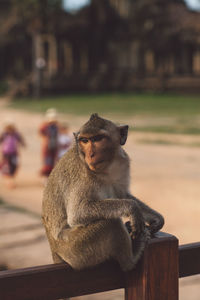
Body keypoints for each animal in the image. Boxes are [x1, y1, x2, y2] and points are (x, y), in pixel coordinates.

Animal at [42, 113, 164, 272]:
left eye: (98, 139)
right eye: (85, 140)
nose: (91, 154)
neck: (107, 168)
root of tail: (54, 250)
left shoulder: (123, 164)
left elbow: (122, 195)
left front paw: (156, 219)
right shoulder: (82, 174)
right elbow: (77, 213)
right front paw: (132, 208)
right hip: (75, 249)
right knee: (111, 223)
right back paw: (131, 258)